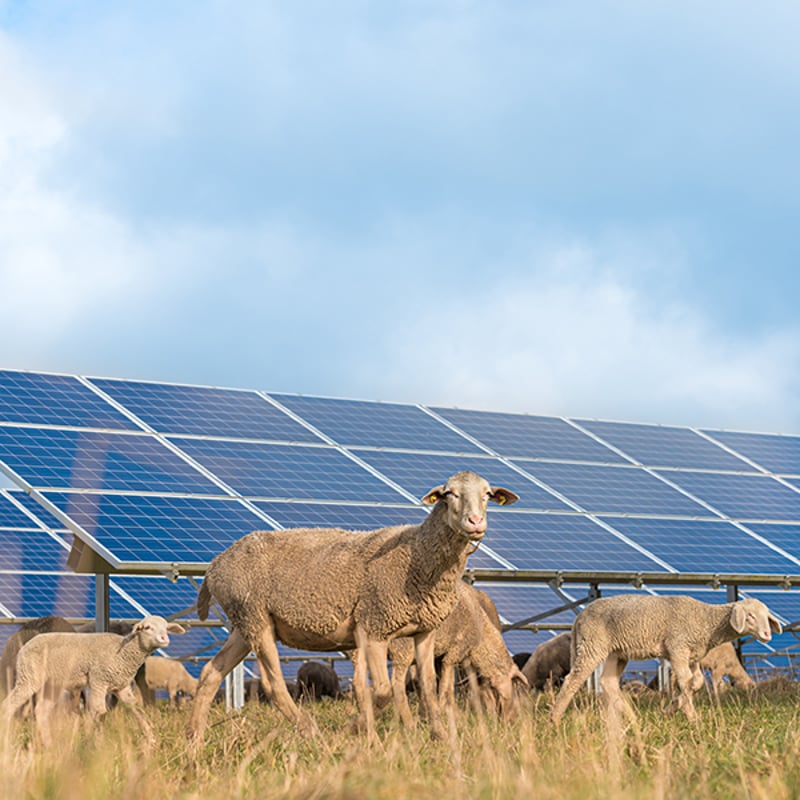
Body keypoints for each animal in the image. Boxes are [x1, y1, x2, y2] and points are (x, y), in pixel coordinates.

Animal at [3, 616, 184, 748]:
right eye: (147, 628)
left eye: (166, 628)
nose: (164, 638)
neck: (123, 653)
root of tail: (25, 645)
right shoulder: (99, 680)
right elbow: (100, 712)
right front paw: (98, 746)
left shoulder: (122, 687)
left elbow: (137, 710)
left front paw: (151, 741)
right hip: (29, 677)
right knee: (9, 705)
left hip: (52, 684)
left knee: (41, 711)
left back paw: (50, 746)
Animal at [390, 580, 532, 720]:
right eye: (512, 685)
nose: (509, 719)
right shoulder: (455, 651)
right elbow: (447, 686)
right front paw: (444, 710)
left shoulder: (442, 656)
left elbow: (436, 683)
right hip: (403, 648)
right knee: (397, 686)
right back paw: (407, 721)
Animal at [552, 592, 780, 724]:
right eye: (750, 616)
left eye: (766, 615)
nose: (767, 634)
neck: (706, 621)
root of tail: (579, 617)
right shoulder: (677, 647)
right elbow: (685, 681)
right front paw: (691, 716)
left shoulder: (692, 654)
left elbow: (696, 682)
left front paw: (671, 708)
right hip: (592, 645)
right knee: (572, 680)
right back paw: (554, 718)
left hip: (615, 653)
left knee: (607, 681)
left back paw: (630, 715)